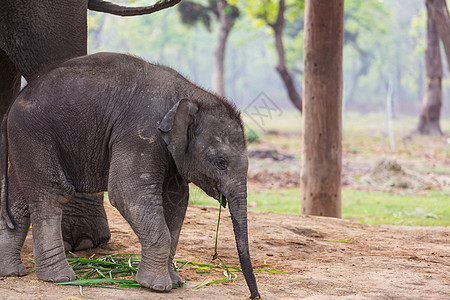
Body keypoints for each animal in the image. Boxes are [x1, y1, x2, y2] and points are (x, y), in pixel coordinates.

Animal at [0, 52, 260, 298]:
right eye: (221, 162)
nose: (254, 295)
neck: (191, 95)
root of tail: (12, 106)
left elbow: (176, 201)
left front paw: (175, 282)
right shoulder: (141, 133)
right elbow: (127, 192)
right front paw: (156, 286)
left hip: (25, 141)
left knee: (19, 201)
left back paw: (11, 272)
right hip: (34, 135)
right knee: (52, 194)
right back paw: (60, 278)